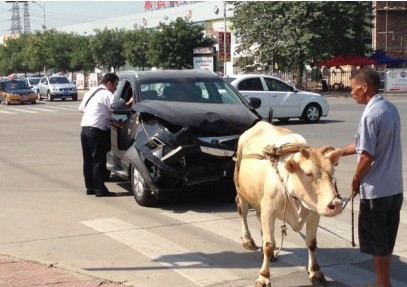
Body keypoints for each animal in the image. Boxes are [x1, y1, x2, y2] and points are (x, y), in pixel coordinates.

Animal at [234, 122, 342, 287]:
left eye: (331, 172)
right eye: (309, 173)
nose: (335, 204)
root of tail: (259, 123)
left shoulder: (314, 214)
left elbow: (311, 243)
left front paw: (315, 273)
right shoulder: (269, 211)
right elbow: (268, 245)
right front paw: (263, 277)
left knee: (259, 218)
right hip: (242, 192)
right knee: (243, 213)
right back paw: (248, 240)